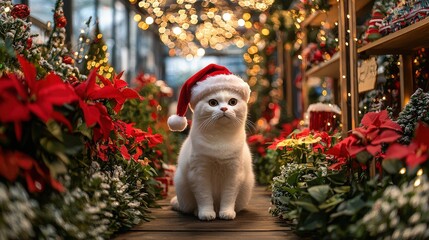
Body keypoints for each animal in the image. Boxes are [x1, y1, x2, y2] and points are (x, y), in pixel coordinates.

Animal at [168, 81, 254, 220]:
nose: (224, 109)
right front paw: (206, 213)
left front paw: (227, 213)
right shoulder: (199, 173)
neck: (220, 139)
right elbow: (204, 197)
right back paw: (198, 211)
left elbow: (228, 197)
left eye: (233, 102)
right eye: (213, 103)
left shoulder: (234, 173)